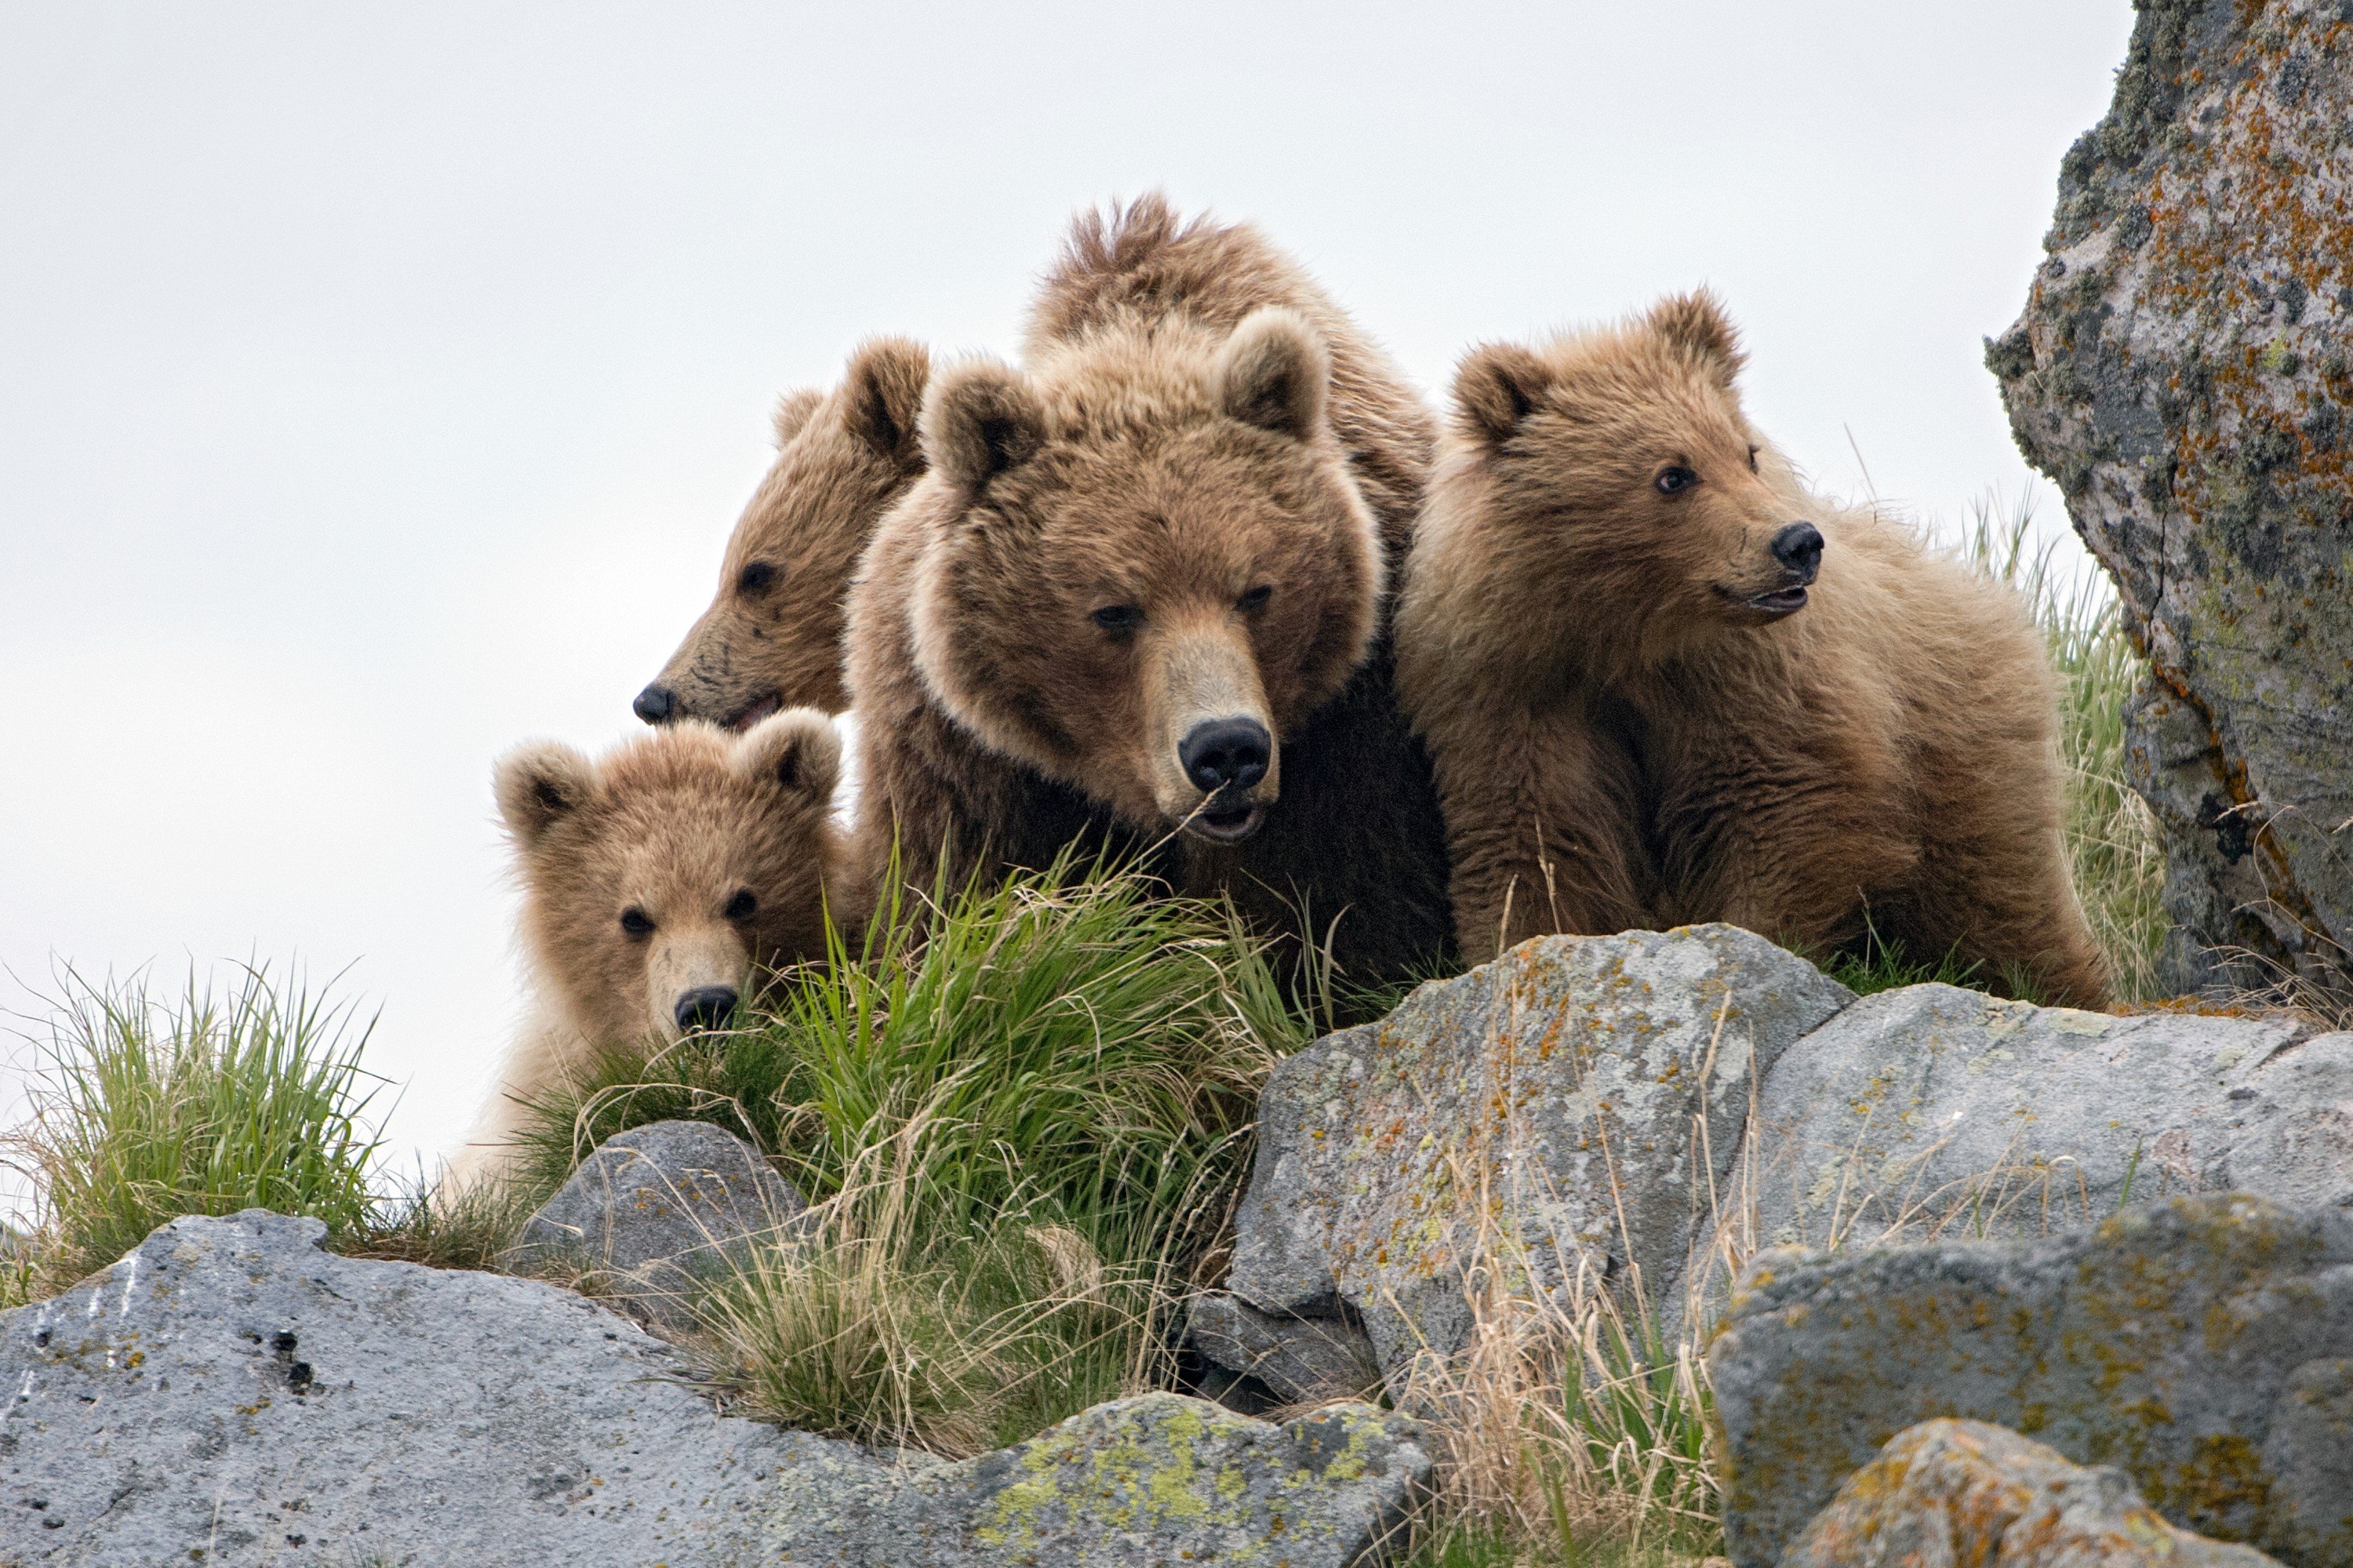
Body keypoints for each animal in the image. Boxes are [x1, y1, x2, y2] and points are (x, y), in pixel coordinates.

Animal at [847, 191, 1449, 979]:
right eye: (1114, 610)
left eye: (1256, 590)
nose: (1226, 750)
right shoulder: (966, 758)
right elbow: (953, 900)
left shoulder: (1355, 733)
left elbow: (1358, 911)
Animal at [1393, 292, 2118, 1002]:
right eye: (1673, 474)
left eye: (1745, 452)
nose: (1798, 542)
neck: (1627, 634)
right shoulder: (1516, 689)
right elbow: (1539, 836)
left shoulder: (1750, 679)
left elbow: (1779, 801)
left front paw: (1749, 943)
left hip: (1962, 752)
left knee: (1999, 898)